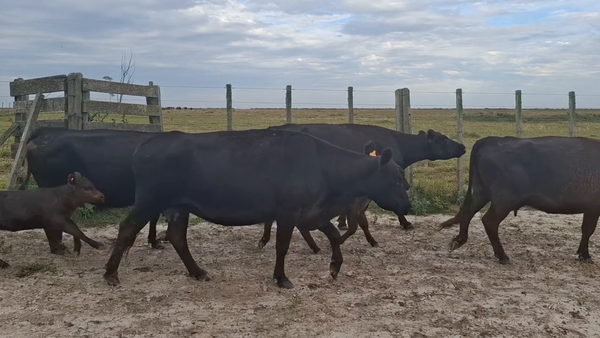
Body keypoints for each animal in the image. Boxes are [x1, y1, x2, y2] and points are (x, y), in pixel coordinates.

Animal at [103, 129, 412, 288]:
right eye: (396, 179)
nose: (408, 205)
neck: (324, 168)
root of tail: (150, 140)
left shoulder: (312, 213)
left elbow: (335, 235)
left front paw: (335, 266)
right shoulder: (288, 212)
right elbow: (282, 246)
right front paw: (281, 277)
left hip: (178, 205)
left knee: (177, 236)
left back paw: (197, 271)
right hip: (149, 199)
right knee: (127, 228)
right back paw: (110, 273)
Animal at [438, 136, 600, 266]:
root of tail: (491, 140)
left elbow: (586, 229)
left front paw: (582, 253)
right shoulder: (593, 208)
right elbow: (588, 230)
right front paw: (585, 255)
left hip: (480, 192)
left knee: (467, 212)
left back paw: (459, 240)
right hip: (504, 200)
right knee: (489, 221)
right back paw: (502, 256)